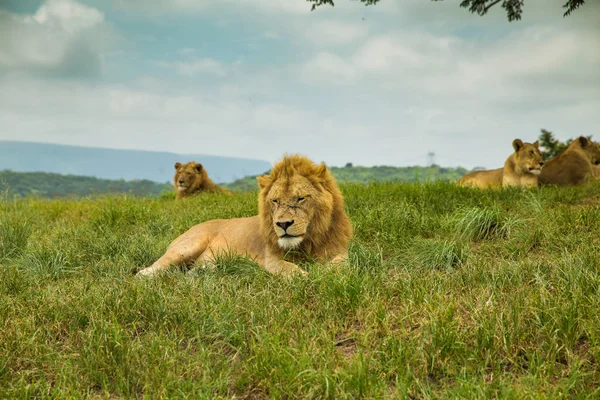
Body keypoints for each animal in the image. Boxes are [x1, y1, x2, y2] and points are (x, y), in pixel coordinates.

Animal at [138, 155, 354, 276]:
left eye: (300, 198)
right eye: (275, 201)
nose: (283, 224)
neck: (308, 241)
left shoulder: (340, 252)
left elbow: (341, 265)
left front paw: (326, 273)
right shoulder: (271, 260)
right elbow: (290, 269)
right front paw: (307, 276)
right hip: (186, 247)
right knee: (145, 271)